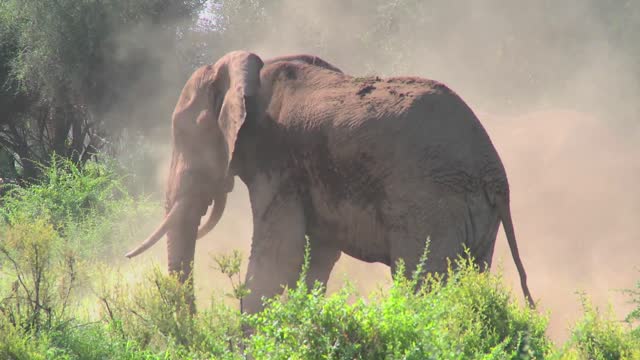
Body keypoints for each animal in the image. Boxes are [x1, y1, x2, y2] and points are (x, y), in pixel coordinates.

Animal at [125, 50, 536, 312]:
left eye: (182, 134)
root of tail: (495, 174)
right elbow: (316, 256)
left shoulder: (279, 162)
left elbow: (280, 254)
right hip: (474, 214)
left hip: (432, 205)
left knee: (422, 284)